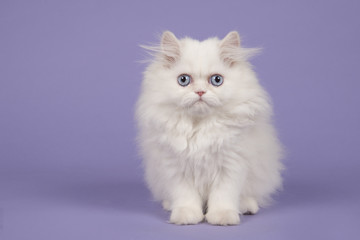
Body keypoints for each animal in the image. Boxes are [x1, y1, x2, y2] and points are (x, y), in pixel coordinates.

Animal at [136, 31, 284, 225]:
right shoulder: (175, 167)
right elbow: (185, 196)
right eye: (183, 80)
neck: (200, 126)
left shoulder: (231, 165)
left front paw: (223, 217)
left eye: (216, 80)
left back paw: (246, 207)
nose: (200, 92)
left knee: (250, 196)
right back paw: (169, 205)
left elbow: (223, 196)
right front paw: (186, 216)